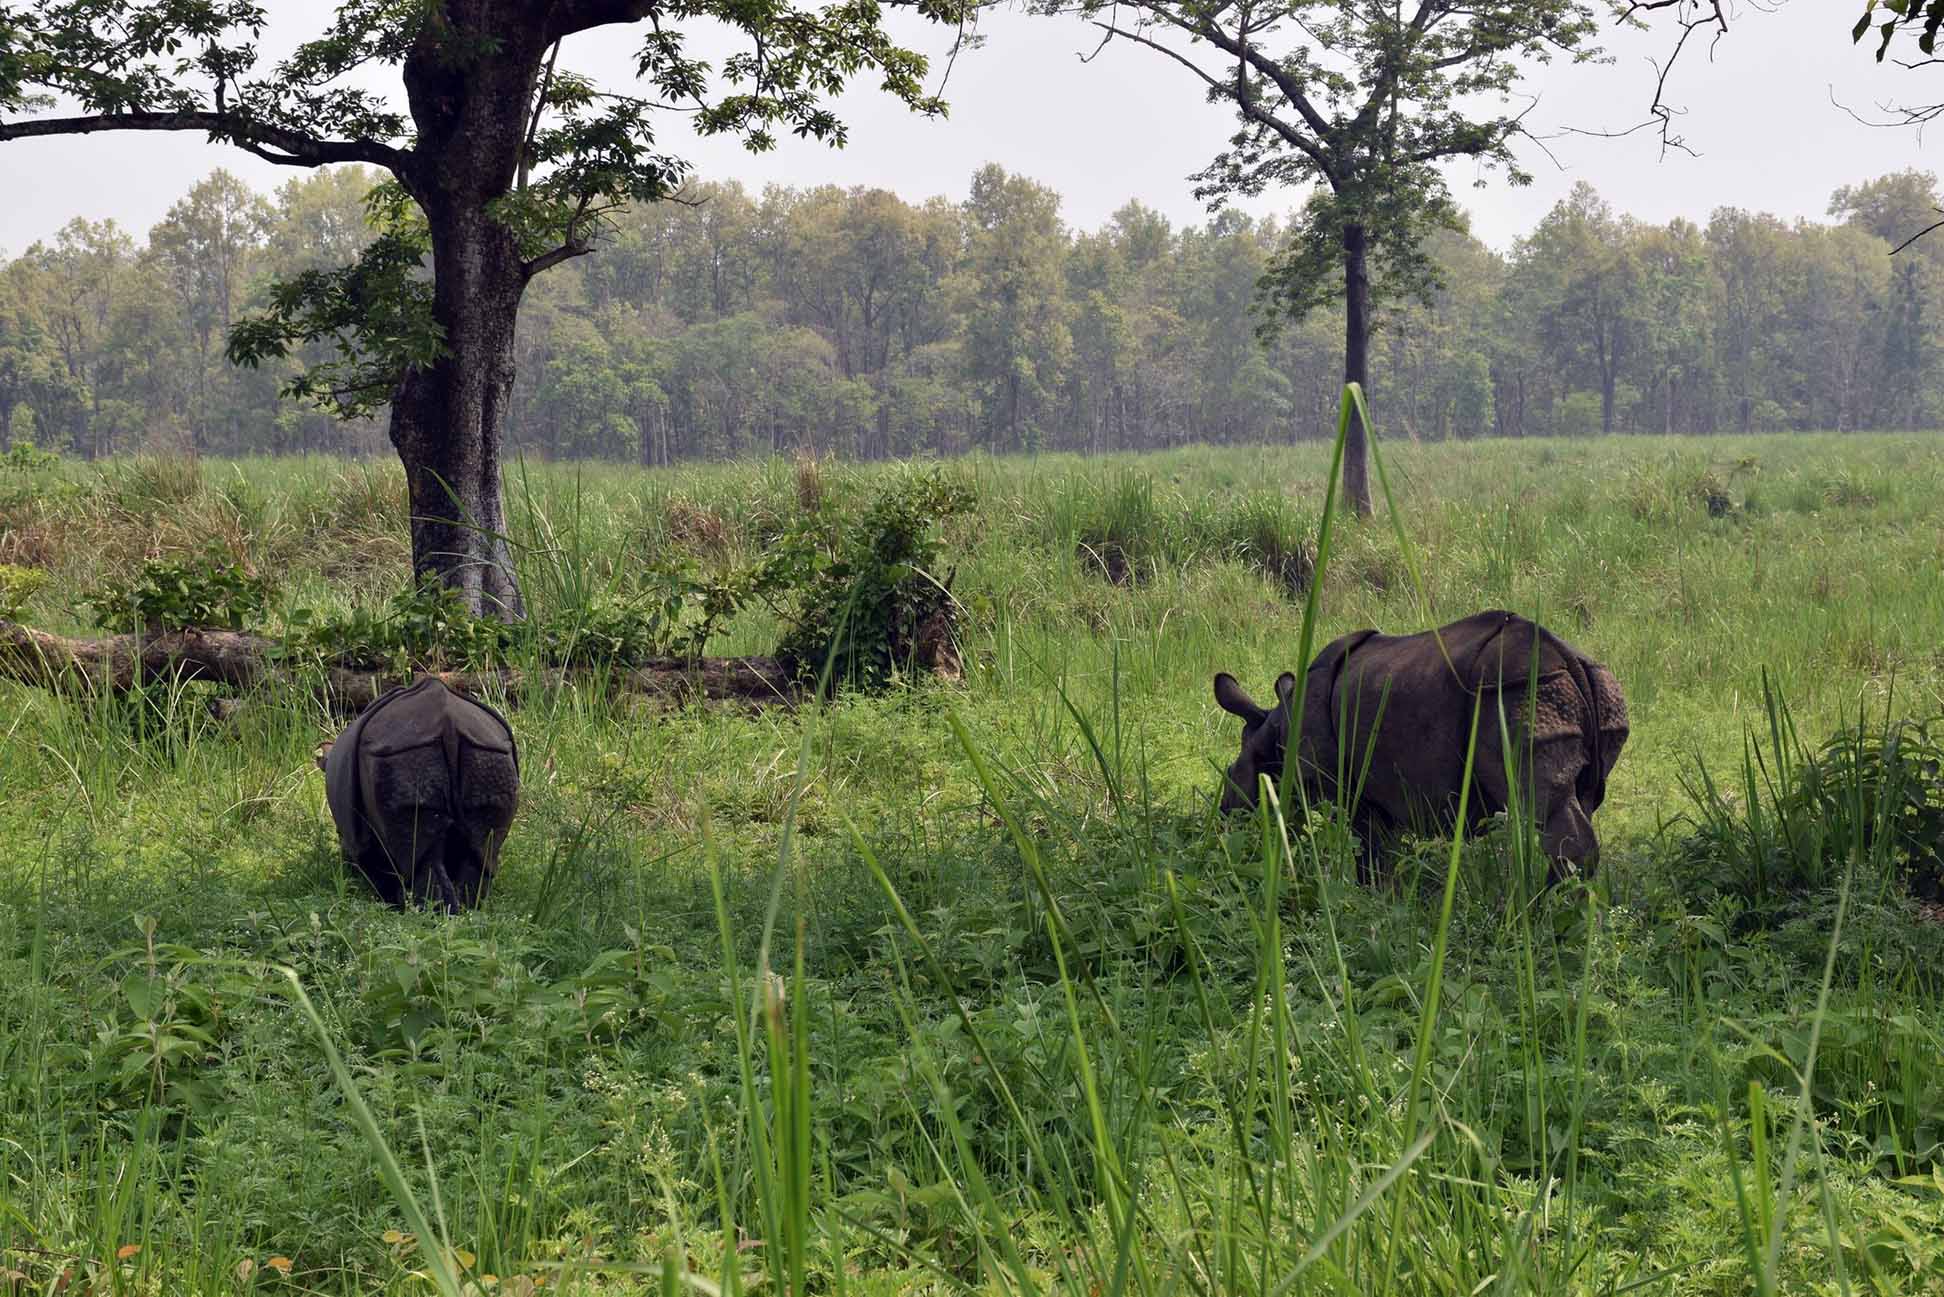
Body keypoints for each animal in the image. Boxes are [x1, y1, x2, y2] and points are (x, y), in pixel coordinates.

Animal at [326, 680, 524, 913]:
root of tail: (449, 724)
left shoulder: (359, 841)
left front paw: (387, 902)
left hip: (401, 757)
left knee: (420, 856)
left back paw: (425, 913)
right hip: (489, 754)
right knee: (481, 850)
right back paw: (467, 912)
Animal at [1213, 610, 1625, 882]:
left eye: (1233, 776)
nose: (1224, 819)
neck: (1274, 729)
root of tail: (1566, 656)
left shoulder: (1344, 787)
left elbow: (1369, 849)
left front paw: (1370, 896)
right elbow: (1388, 849)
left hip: (1517, 692)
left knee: (1542, 803)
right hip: (1593, 689)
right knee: (1582, 797)